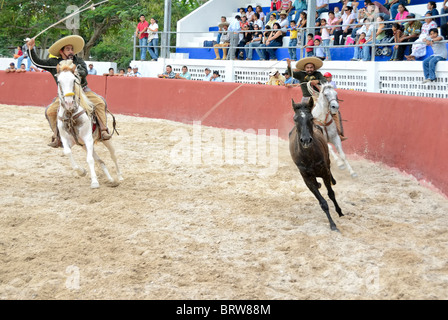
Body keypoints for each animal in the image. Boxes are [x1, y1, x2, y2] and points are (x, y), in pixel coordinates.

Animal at [55, 60, 122, 188]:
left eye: (74, 80)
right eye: (59, 81)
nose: (69, 102)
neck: (71, 115)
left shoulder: (88, 138)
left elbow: (89, 159)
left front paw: (94, 182)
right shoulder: (67, 140)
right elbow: (67, 152)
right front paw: (81, 172)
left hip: (104, 140)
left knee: (113, 155)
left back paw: (120, 177)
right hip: (84, 146)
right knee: (100, 161)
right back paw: (111, 180)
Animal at [290, 97, 344, 230]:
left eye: (311, 118)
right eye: (295, 119)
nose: (305, 140)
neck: (309, 156)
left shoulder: (324, 171)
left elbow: (331, 194)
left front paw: (339, 211)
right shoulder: (306, 178)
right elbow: (322, 202)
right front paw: (332, 224)